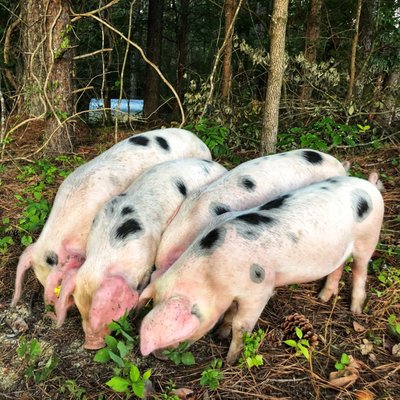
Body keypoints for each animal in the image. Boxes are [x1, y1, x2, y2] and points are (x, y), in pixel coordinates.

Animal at [54, 158, 227, 348]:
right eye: (79, 307)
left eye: (108, 314)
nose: (91, 345)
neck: (106, 256)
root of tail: (218, 165)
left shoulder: (145, 264)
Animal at [139, 173, 382, 364]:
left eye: (180, 334)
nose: (159, 356)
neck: (212, 275)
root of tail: (368, 186)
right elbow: (230, 312)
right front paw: (220, 334)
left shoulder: (258, 290)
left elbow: (242, 325)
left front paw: (230, 360)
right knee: (338, 267)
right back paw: (323, 297)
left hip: (369, 237)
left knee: (360, 269)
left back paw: (356, 310)